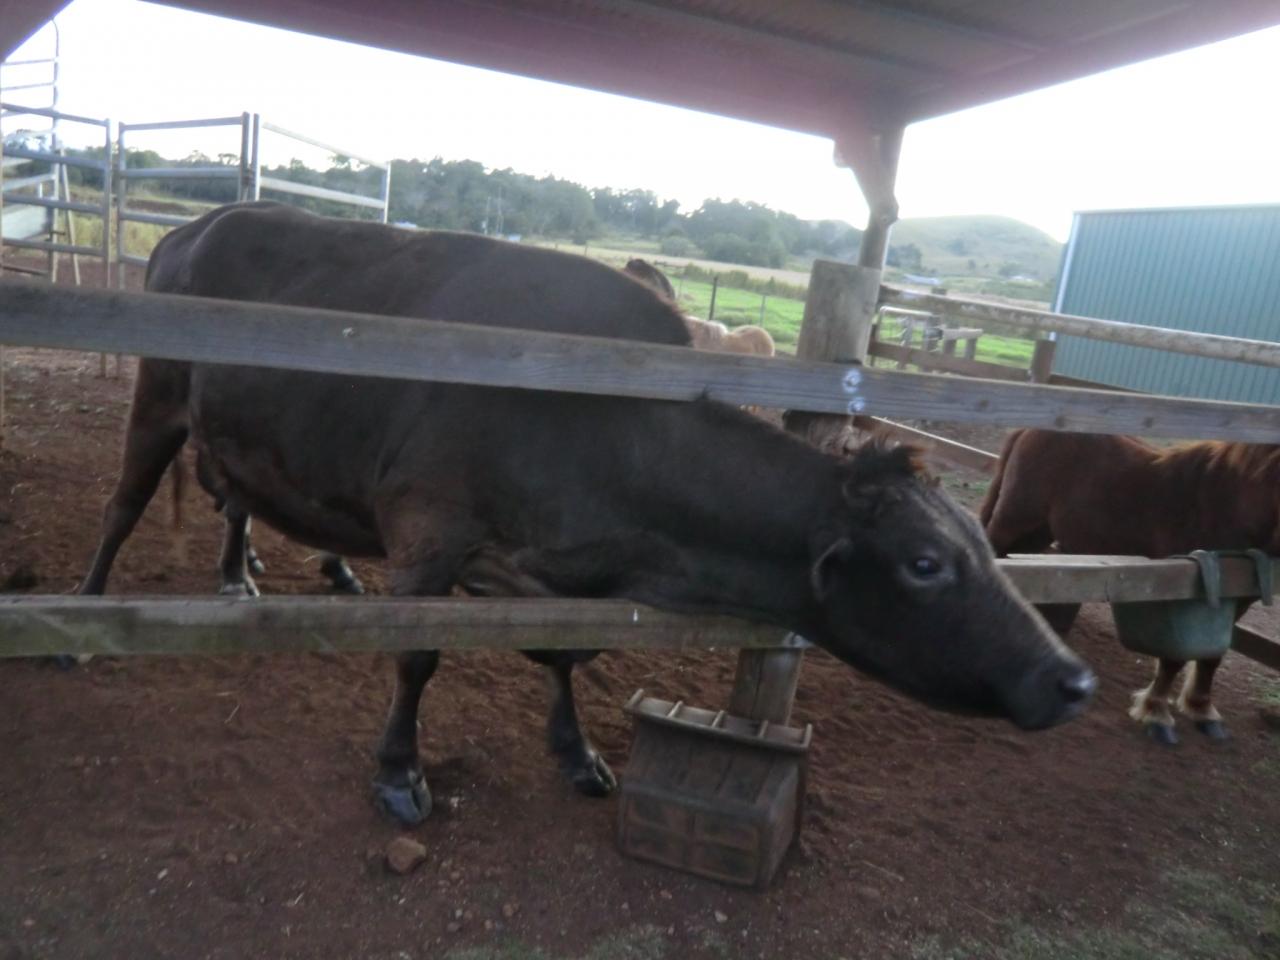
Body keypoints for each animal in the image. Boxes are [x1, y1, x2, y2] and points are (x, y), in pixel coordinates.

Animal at [83, 202, 1094, 826]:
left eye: (982, 545)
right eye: (925, 563)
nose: (1074, 679)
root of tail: (201, 221)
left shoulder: (549, 574)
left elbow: (564, 657)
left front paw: (576, 753)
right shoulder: (430, 530)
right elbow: (416, 655)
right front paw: (400, 772)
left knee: (236, 499)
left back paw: (240, 572)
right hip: (158, 395)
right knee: (124, 503)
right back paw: (88, 615)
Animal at [980, 428, 1280, 743]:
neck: (1229, 505)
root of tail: (1029, 430)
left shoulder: (1238, 597)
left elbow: (1213, 656)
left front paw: (1202, 710)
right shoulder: (1183, 593)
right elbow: (1174, 658)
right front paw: (1156, 714)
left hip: (1037, 531)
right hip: (1014, 520)